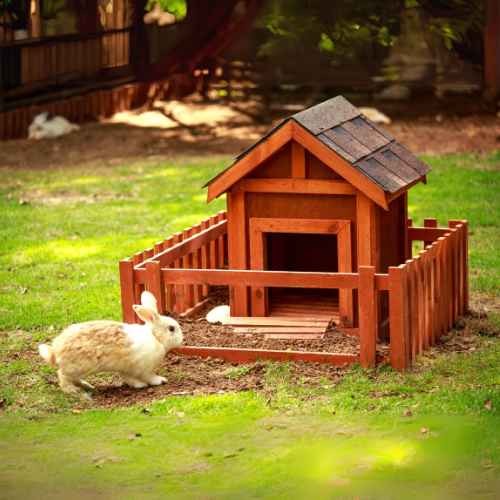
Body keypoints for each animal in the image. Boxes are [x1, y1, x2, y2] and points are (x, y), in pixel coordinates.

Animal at [37, 292, 182, 392]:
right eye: (171, 328)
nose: (182, 339)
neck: (155, 337)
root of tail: (55, 353)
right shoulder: (145, 368)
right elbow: (150, 377)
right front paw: (161, 380)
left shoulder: (127, 369)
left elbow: (131, 380)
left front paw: (139, 385)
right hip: (79, 368)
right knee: (62, 375)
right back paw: (73, 390)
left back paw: (88, 386)